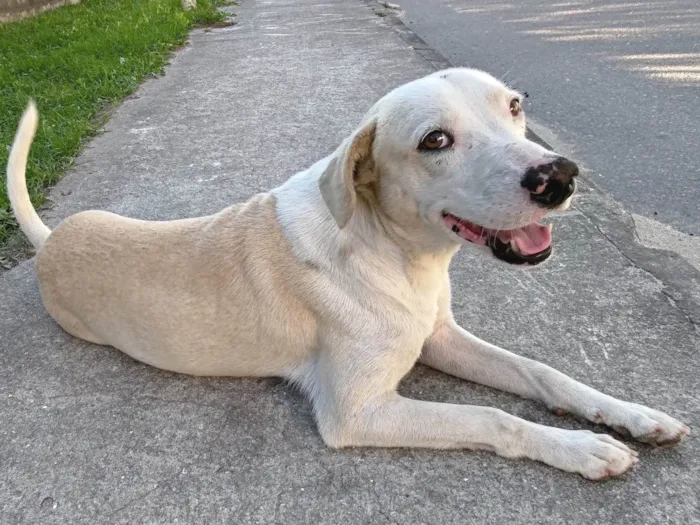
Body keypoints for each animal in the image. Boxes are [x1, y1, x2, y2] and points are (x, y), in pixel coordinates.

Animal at [6, 68, 688, 478]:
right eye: (435, 141)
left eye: (514, 106)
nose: (560, 176)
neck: (396, 252)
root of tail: (51, 240)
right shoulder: (358, 413)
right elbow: (491, 417)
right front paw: (583, 448)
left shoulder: (439, 337)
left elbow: (542, 373)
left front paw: (630, 415)